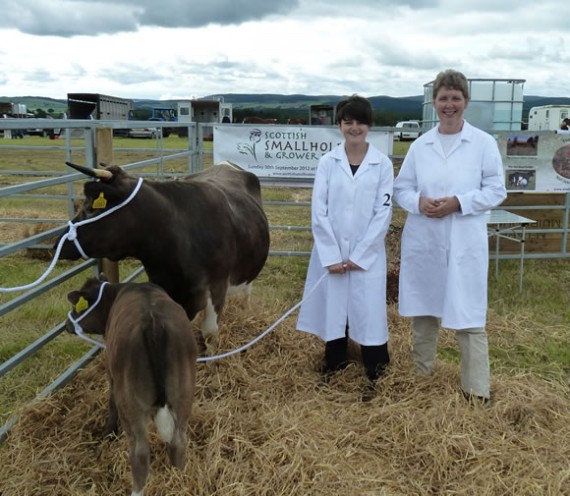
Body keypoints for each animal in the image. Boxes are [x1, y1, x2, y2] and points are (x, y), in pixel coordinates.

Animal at [65, 278, 195, 496]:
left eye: (76, 307)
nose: (67, 325)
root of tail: (153, 323)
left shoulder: (111, 372)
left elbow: (110, 402)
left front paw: (107, 433)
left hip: (129, 402)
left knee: (139, 452)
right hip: (183, 393)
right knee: (178, 441)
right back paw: (180, 477)